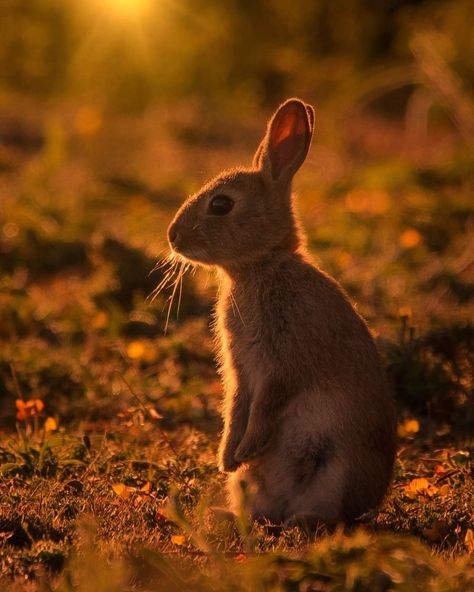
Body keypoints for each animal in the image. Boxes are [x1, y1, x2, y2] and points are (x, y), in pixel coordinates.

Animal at [167, 98, 396, 528]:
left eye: (221, 204)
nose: (172, 237)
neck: (261, 264)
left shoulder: (283, 359)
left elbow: (267, 401)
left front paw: (245, 449)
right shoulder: (240, 368)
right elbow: (235, 404)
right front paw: (227, 458)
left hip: (335, 468)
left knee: (328, 514)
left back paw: (301, 521)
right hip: (250, 486)